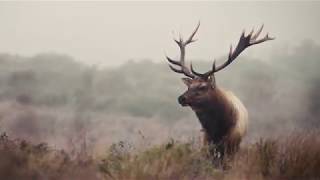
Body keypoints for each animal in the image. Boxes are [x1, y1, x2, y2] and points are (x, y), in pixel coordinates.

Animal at [166, 22, 274, 160]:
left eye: (202, 87)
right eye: (189, 87)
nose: (181, 98)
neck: (218, 130)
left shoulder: (232, 146)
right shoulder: (207, 144)